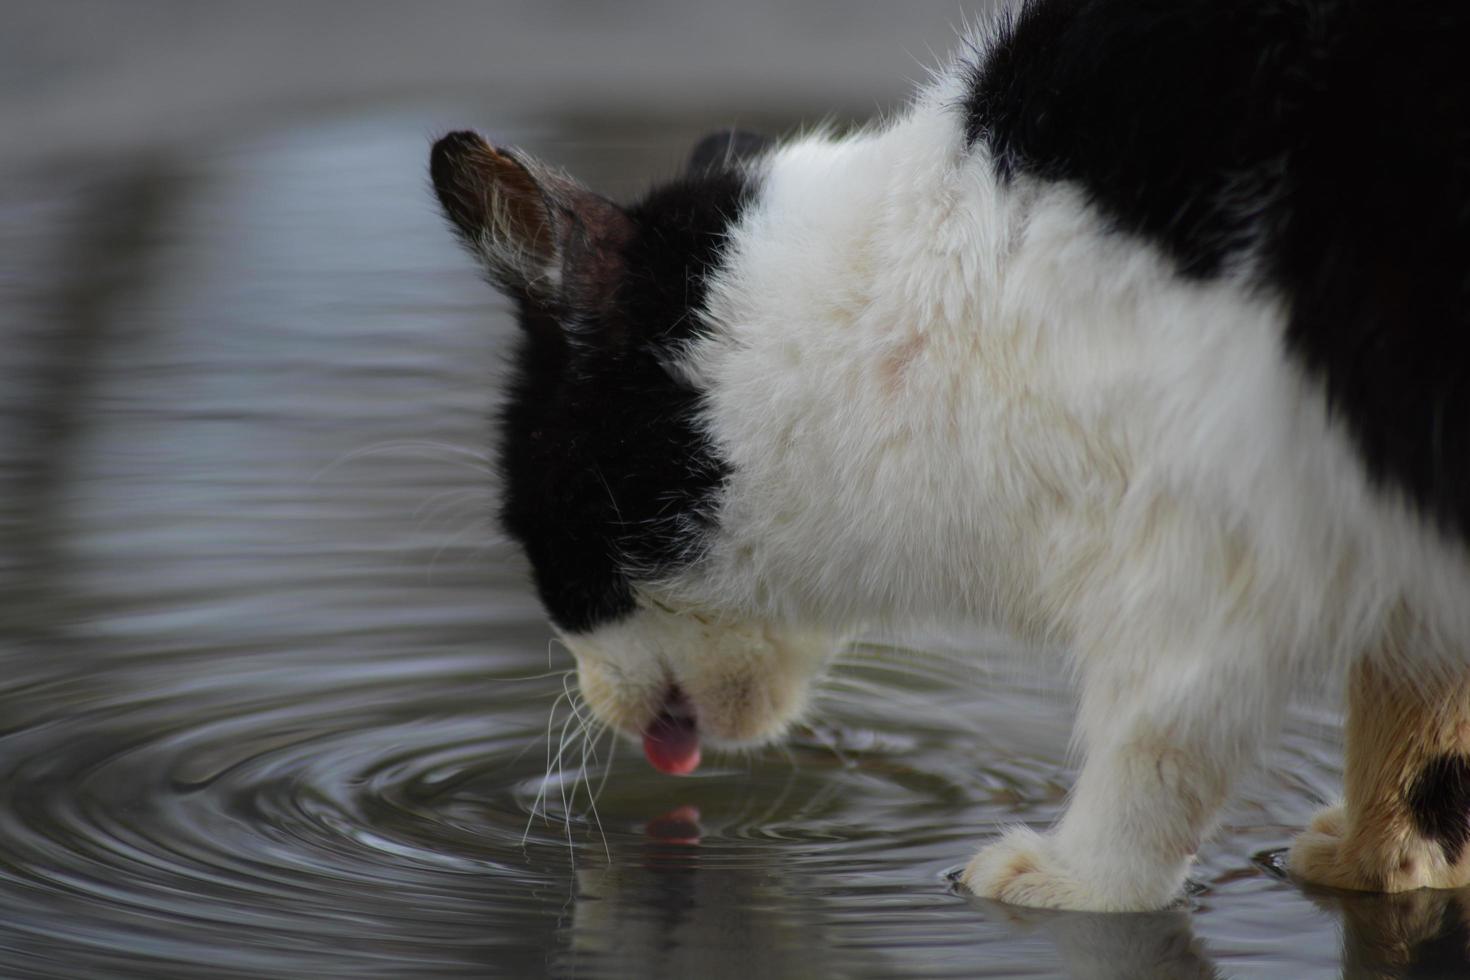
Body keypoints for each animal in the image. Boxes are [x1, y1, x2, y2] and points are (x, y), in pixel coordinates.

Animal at [429, 0, 1470, 916]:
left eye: (537, 526)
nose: (596, 707)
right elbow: (1421, 713)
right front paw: (1381, 860)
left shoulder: (1204, 537)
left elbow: (1162, 731)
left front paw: (1076, 881)